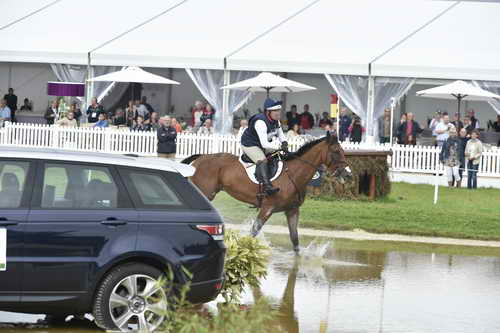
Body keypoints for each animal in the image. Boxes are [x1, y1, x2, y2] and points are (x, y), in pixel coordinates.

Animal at [181, 131, 352, 250]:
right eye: (336, 151)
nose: (348, 174)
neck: (293, 174)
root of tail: (201, 157)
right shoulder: (267, 208)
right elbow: (253, 232)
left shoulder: (292, 210)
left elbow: (295, 240)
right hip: (205, 193)